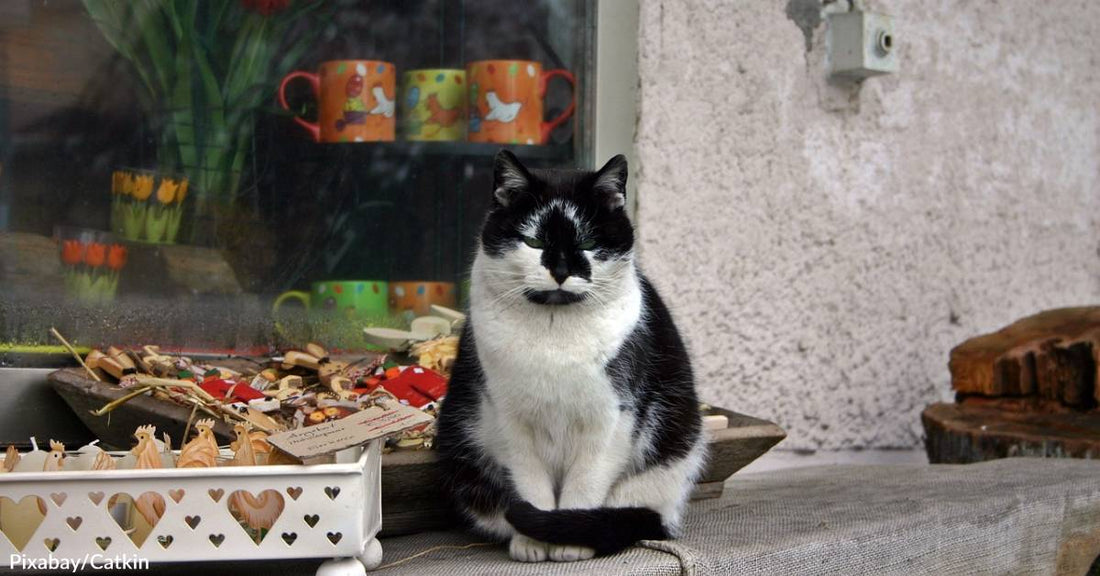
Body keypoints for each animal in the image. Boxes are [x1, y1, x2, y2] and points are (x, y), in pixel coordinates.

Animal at [433, 151, 708, 562]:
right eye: (532, 241)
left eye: (589, 241)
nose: (561, 270)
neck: (554, 330)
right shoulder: (511, 421)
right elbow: (530, 487)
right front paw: (533, 543)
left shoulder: (611, 420)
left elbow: (585, 484)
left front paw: (568, 544)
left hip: (672, 449)